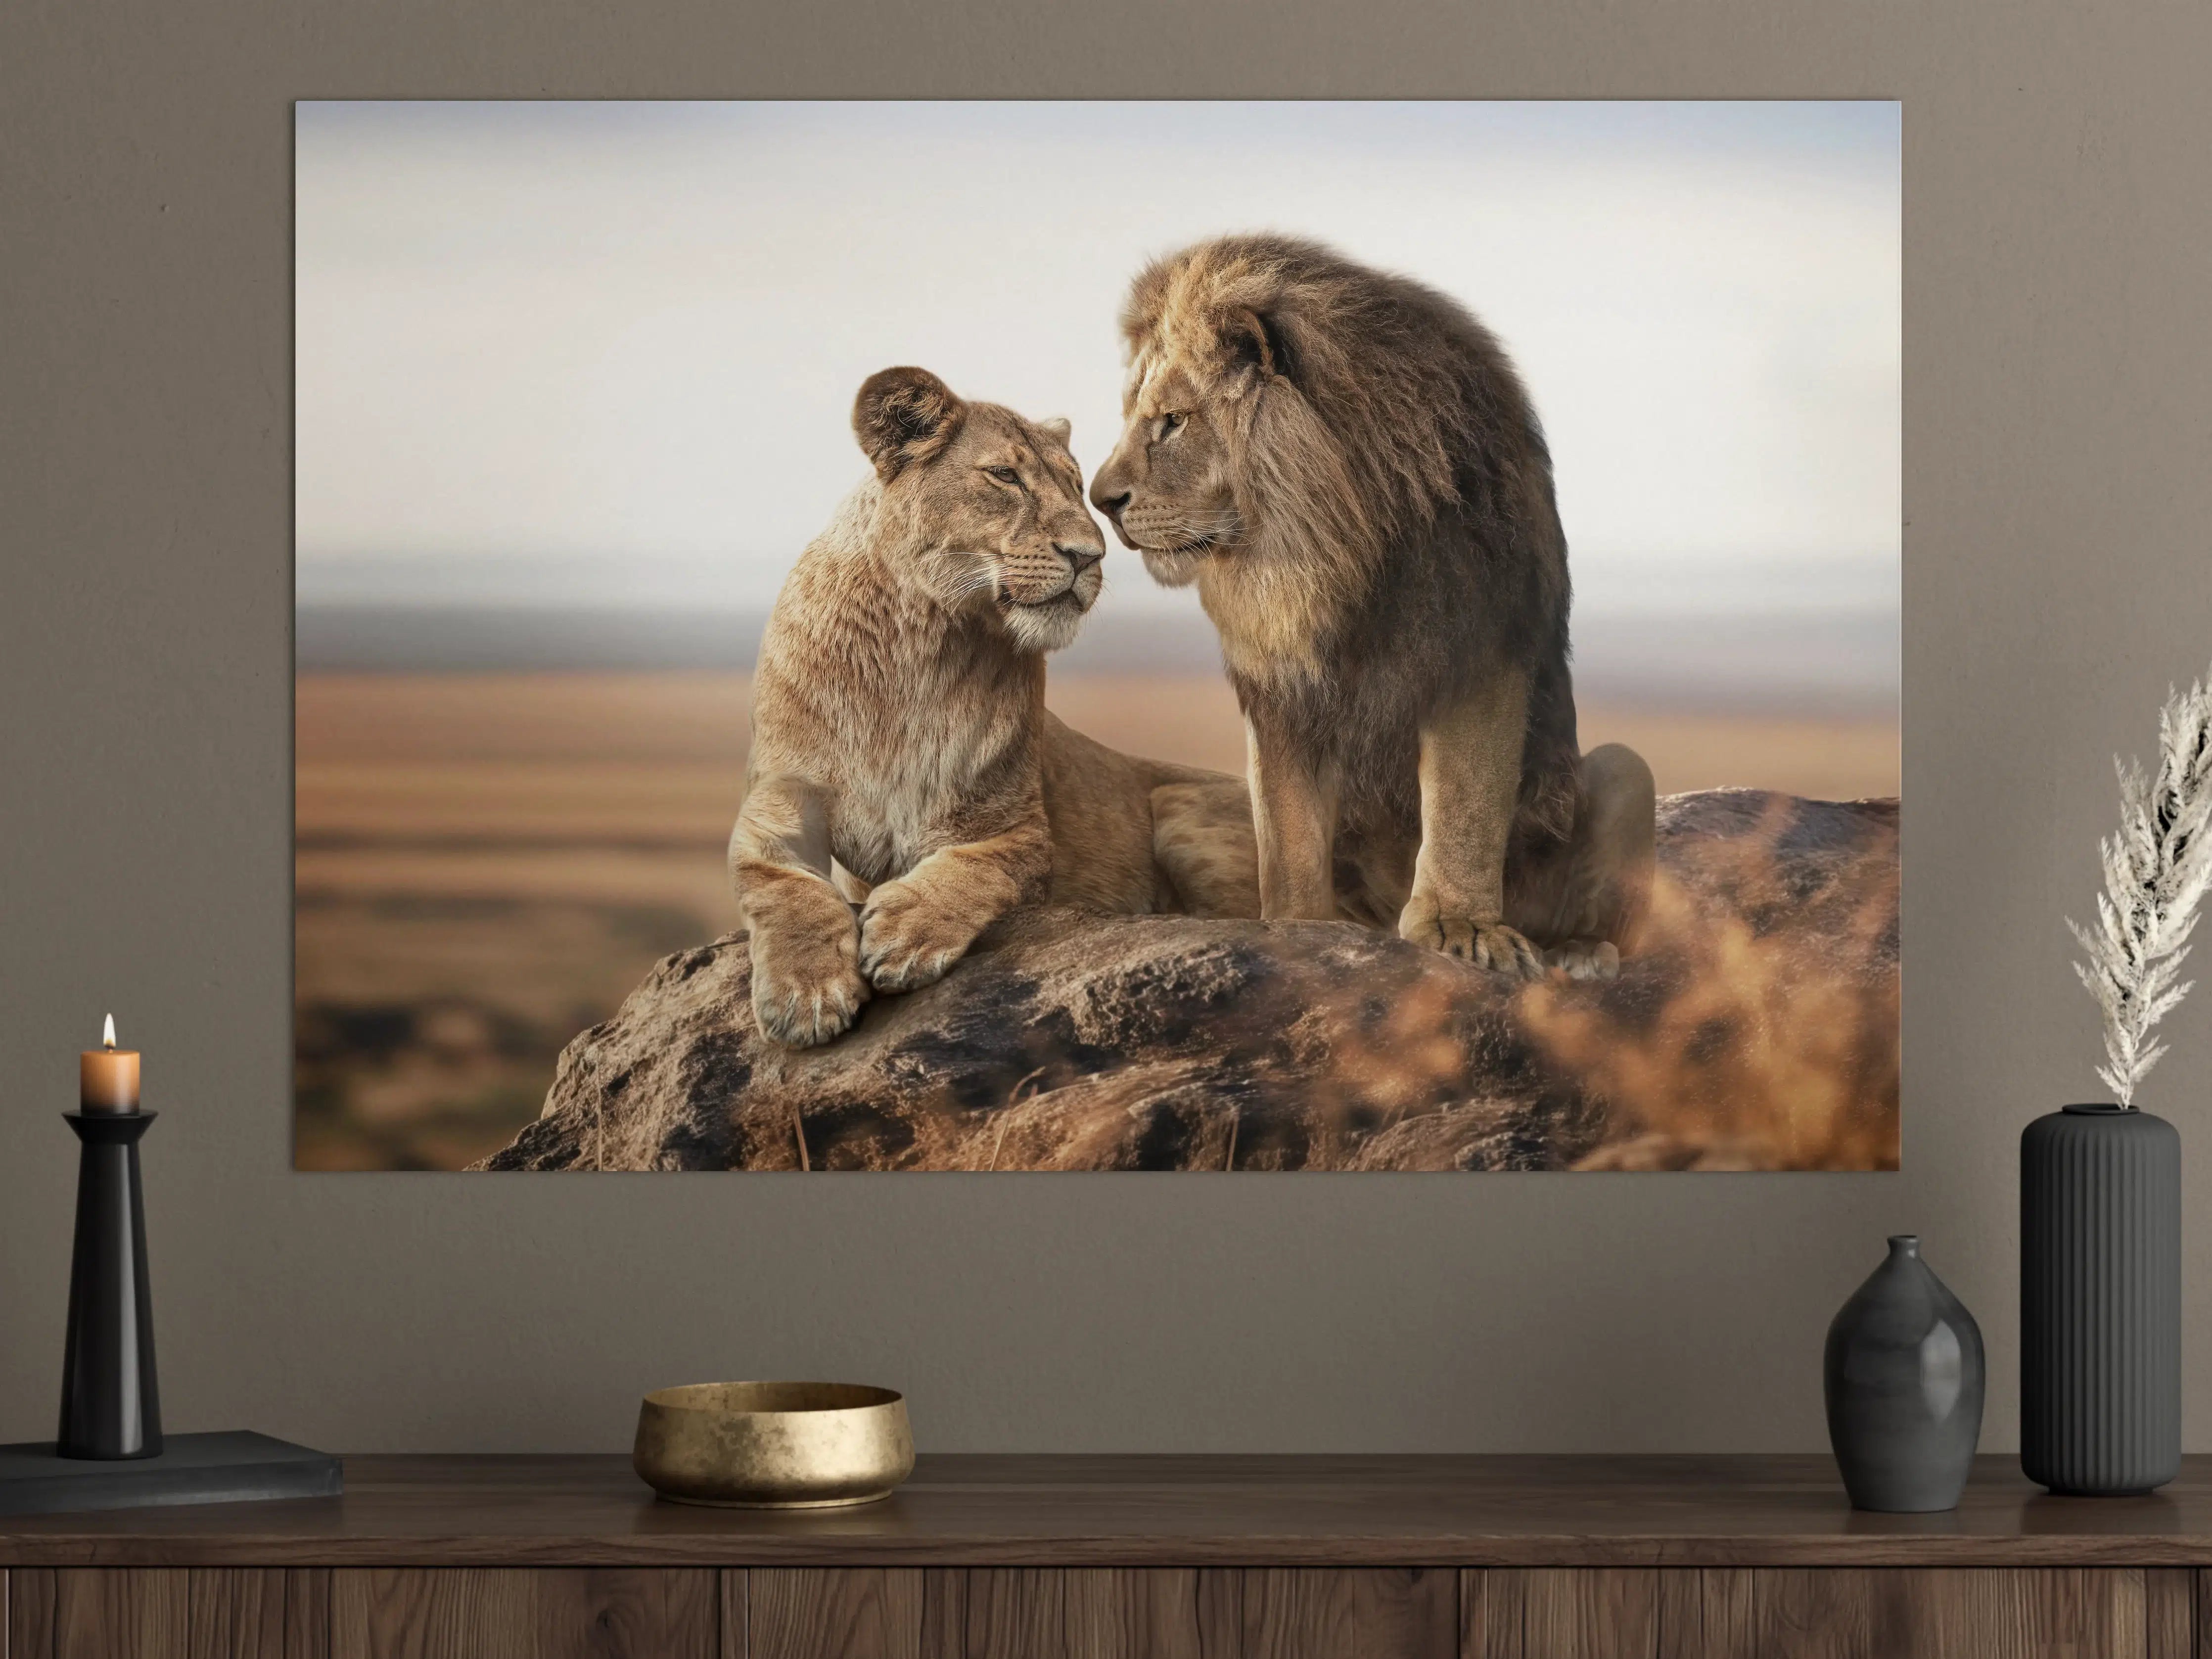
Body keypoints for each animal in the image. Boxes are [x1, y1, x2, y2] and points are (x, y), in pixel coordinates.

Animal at [729, 366, 1259, 1048]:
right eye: (1004, 476)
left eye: (1075, 485)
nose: (1090, 556)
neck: (914, 647)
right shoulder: (776, 803)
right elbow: (784, 888)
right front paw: (806, 993)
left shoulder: (1017, 826)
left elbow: (975, 869)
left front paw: (904, 932)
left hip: (1178, 808)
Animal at [1089, 233, 1656, 980]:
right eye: (1135, 417)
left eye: (1172, 422)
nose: (1099, 500)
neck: (1328, 549)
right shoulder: (1280, 688)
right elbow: (1287, 827)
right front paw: (1299, 927)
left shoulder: (1478, 647)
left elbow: (1465, 807)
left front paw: (1460, 926)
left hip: (1627, 770)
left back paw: (1578, 954)